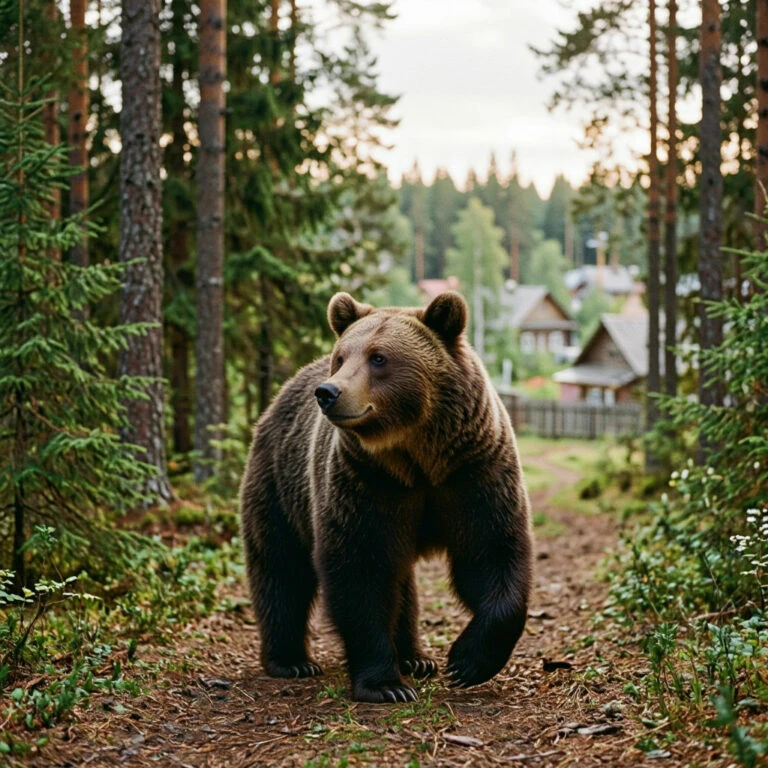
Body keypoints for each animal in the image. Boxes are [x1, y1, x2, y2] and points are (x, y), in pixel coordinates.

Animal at [239, 291, 532, 703]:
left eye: (378, 357)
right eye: (342, 356)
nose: (328, 392)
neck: (416, 458)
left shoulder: (473, 473)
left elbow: (491, 553)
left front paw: (467, 661)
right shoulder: (366, 484)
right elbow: (360, 571)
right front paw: (385, 684)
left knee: (400, 582)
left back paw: (415, 658)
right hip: (279, 484)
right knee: (282, 567)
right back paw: (291, 661)